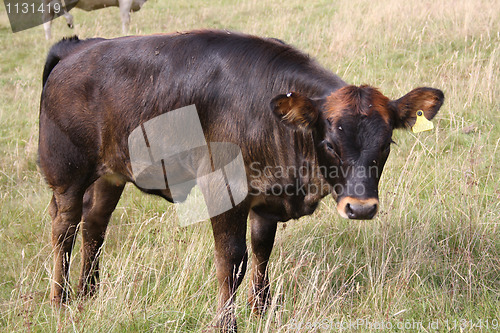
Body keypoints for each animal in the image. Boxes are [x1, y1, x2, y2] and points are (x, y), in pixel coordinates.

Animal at [40, 29, 446, 330]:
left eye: (386, 143)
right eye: (329, 143)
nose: (361, 208)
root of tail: (79, 47)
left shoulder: (265, 201)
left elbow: (262, 252)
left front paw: (261, 310)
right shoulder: (224, 191)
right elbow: (232, 262)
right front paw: (227, 323)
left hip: (109, 175)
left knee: (94, 225)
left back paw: (89, 294)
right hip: (66, 173)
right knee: (64, 229)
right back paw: (60, 301)